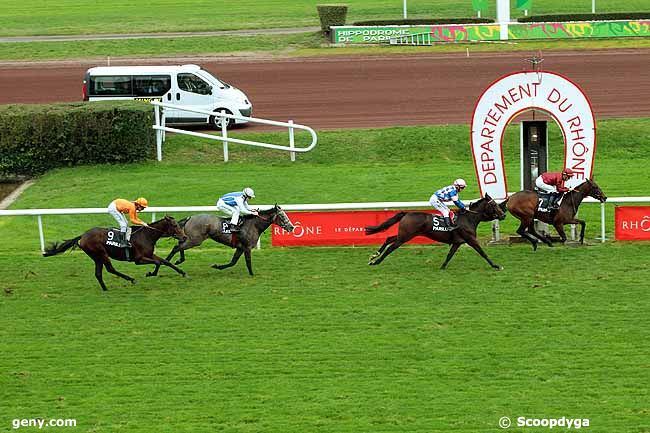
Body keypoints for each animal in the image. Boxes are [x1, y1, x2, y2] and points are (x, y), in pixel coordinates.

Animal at [43, 216, 186, 290]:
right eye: (175, 225)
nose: (184, 237)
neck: (146, 235)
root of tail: (82, 236)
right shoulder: (139, 259)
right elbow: (157, 263)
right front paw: (150, 273)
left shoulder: (149, 254)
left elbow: (165, 261)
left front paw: (182, 272)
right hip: (101, 253)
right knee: (110, 269)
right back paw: (131, 279)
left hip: (96, 257)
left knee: (98, 273)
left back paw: (105, 288)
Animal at [147, 203, 294, 276]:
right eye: (282, 216)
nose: (291, 227)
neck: (253, 225)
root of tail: (190, 217)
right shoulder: (246, 247)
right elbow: (248, 262)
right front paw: (252, 274)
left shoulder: (240, 247)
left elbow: (233, 262)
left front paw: (217, 266)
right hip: (196, 240)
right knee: (177, 247)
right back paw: (166, 263)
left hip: (191, 239)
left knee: (180, 244)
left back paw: (178, 260)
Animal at [364, 196, 506, 270]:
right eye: (494, 204)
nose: (503, 215)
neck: (469, 219)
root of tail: (407, 213)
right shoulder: (471, 240)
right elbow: (483, 253)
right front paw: (495, 265)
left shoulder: (457, 243)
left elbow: (449, 255)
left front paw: (442, 267)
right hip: (405, 237)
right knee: (390, 248)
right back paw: (376, 261)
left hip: (404, 234)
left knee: (389, 238)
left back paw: (374, 256)